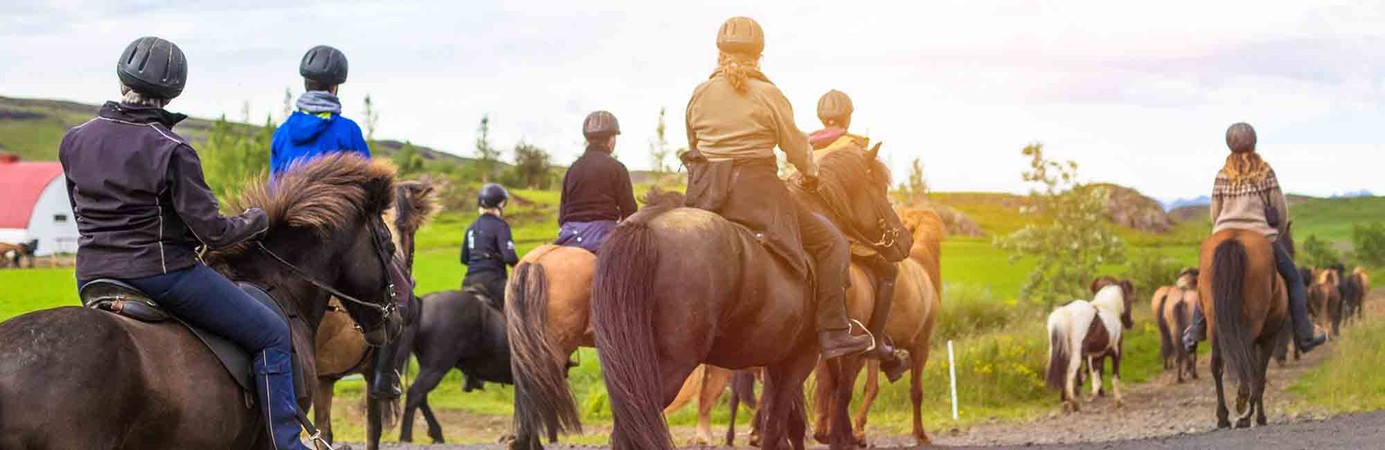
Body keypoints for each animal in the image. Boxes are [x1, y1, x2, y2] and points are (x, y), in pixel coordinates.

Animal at [311, 178, 434, 448]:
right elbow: (372, 431)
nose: (412, 281)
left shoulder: (324, 380)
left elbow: (323, 433)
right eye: (412, 230)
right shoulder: (369, 377)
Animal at [396, 285, 515, 440]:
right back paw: (406, 437)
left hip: (429, 368)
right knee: (415, 394)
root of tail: (422, 303)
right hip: (435, 368)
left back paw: (436, 434)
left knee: (420, 396)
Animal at [592, 148, 908, 448]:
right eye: (879, 187)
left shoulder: (775, 359)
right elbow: (779, 424)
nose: (905, 238)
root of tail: (649, 223)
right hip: (666, 368)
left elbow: (787, 425)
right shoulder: (800, 359)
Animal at [1041, 276, 1130, 409]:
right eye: (1129, 298)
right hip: (1076, 355)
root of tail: (1064, 311)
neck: (1108, 308)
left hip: (1059, 351)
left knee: (1064, 372)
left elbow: (1095, 376)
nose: (1130, 323)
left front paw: (1092, 395)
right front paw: (1118, 401)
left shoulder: (1095, 355)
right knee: (1070, 373)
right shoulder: (1115, 351)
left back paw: (1067, 401)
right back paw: (1073, 402)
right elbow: (1113, 376)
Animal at [1191, 228, 1285, 426]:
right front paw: (1259, 417)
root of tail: (1234, 237)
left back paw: (1223, 417)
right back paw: (1243, 407)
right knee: (1249, 367)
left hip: (1214, 325)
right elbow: (1260, 376)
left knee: (1217, 365)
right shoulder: (1269, 338)